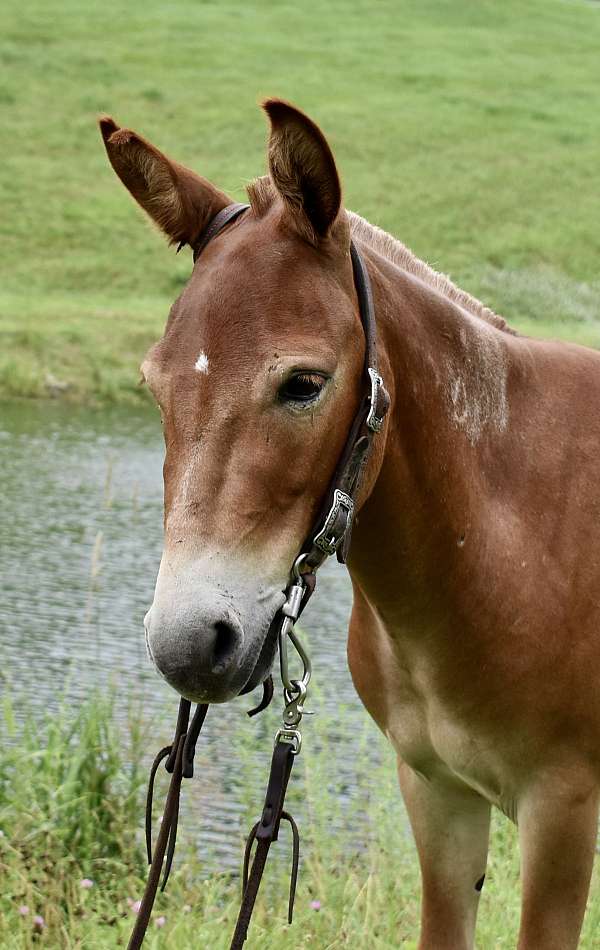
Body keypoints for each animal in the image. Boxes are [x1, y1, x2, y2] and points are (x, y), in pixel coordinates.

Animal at [100, 99, 600, 949]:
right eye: (153, 384)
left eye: (303, 384)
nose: (189, 643)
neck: (513, 542)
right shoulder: (437, 795)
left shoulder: (562, 813)